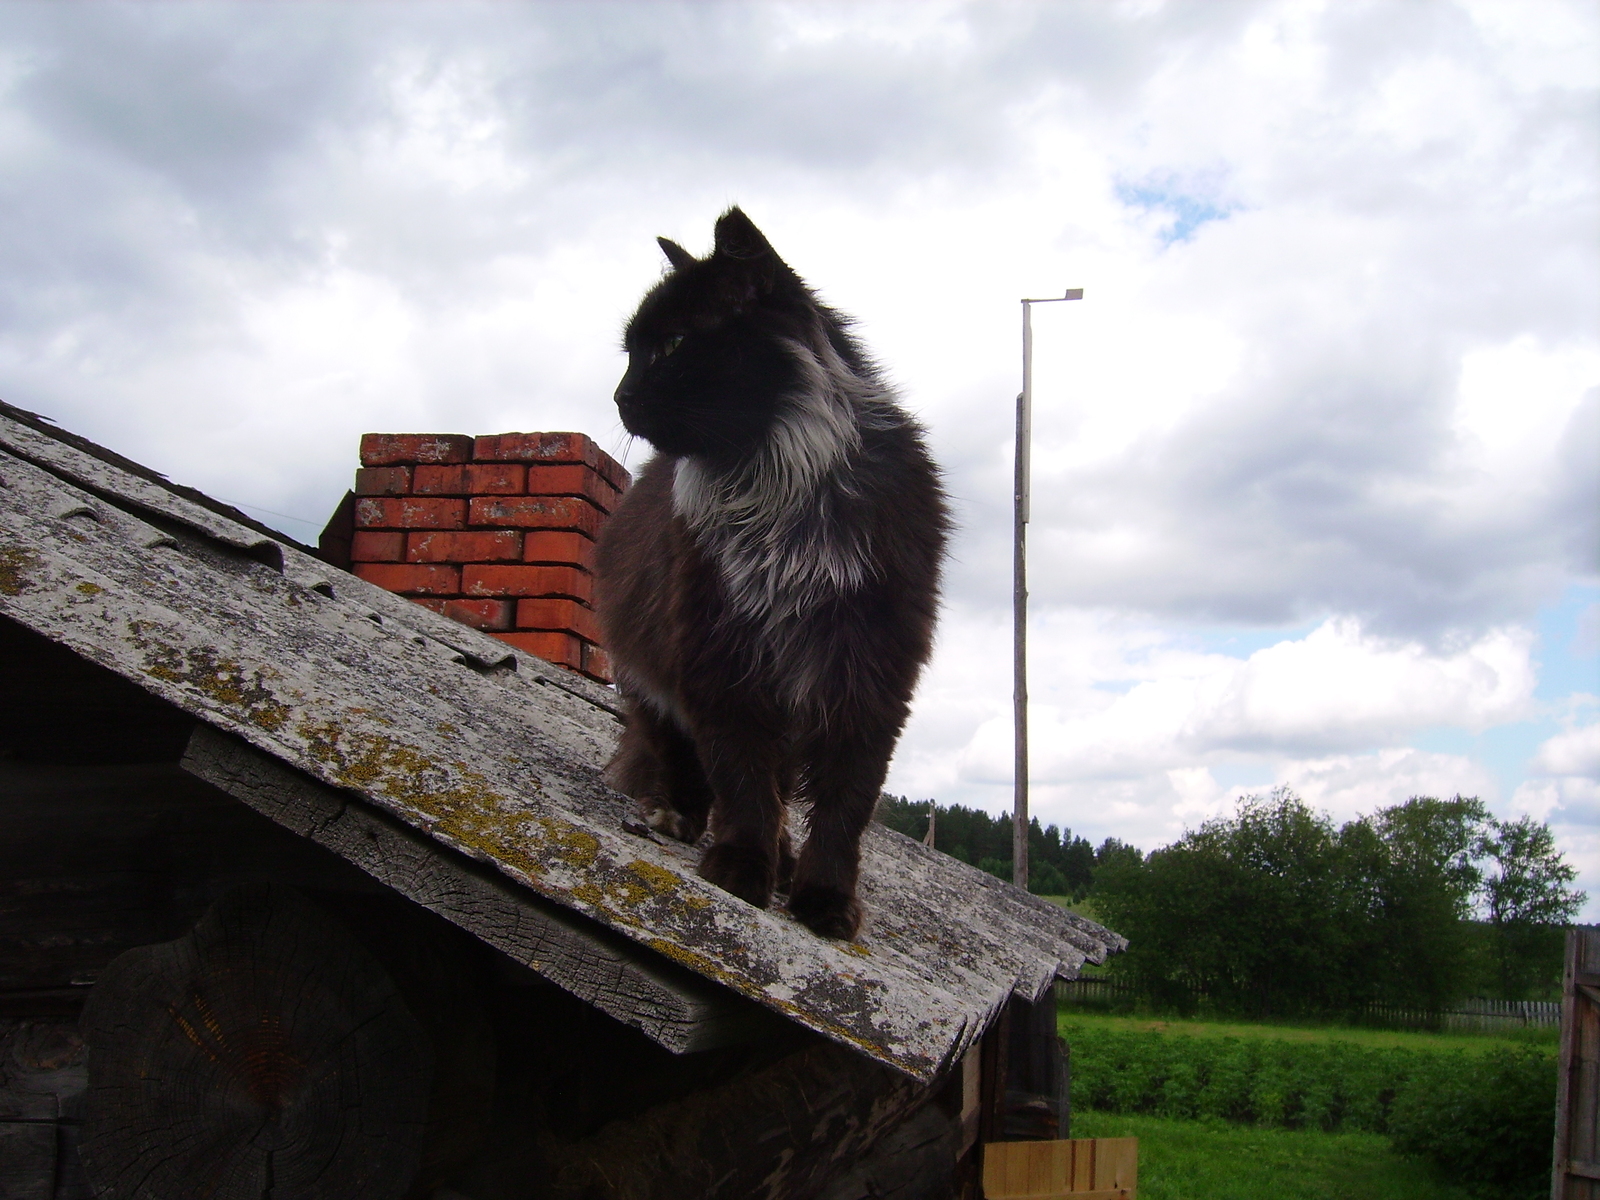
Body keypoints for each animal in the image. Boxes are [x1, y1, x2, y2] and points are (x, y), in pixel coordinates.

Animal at [598, 204, 947, 940]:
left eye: (672, 345)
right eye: (632, 353)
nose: (620, 396)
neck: (776, 493)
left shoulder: (870, 676)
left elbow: (843, 806)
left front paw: (824, 900)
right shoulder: (721, 657)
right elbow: (743, 781)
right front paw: (741, 869)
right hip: (650, 680)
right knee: (682, 760)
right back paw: (680, 818)